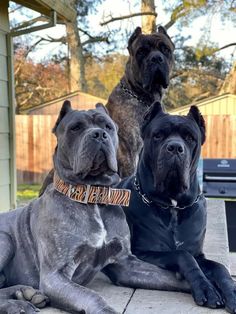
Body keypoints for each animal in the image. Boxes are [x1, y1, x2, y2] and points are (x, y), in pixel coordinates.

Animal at [0, 102, 190, 312]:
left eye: (108, 126)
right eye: (75, 128)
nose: (98, 134)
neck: (94, 196)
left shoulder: (126, 264)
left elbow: (170, 277)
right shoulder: (55, 276)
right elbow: (92, 296)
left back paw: (26, 294)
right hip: (5, 240)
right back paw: (17, 304)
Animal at [120, 102, 236, 312]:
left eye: (190, 138)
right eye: (158, 135)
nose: (174, 147)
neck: (173, 206)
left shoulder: (199, 254)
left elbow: (219, 267)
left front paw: (232, 292)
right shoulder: (143, 251)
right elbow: (183, 255)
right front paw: (206, 289)